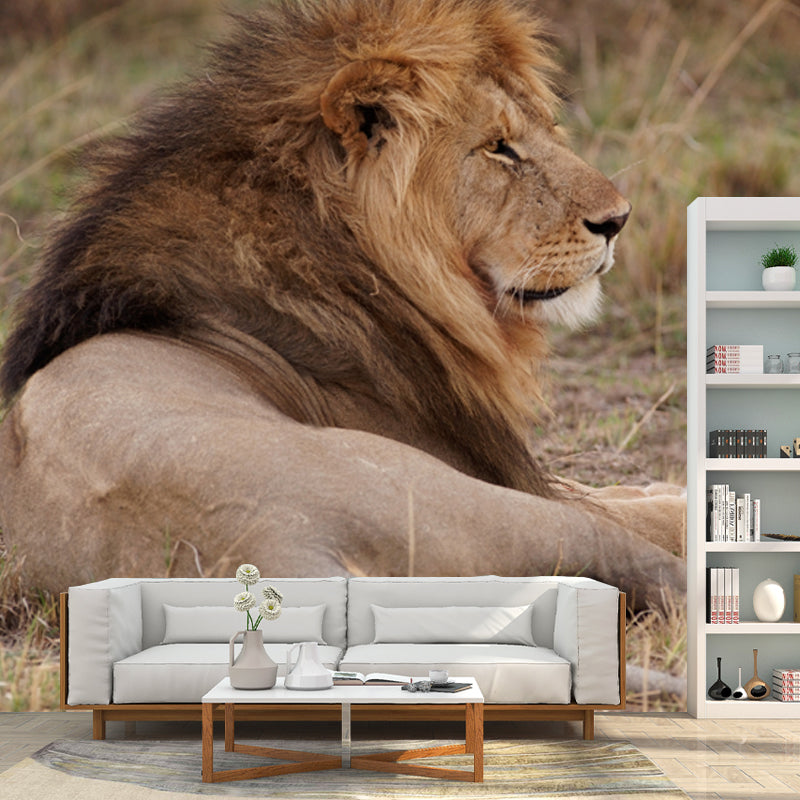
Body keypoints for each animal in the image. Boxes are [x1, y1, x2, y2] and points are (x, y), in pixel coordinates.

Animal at [0, 0, 685, 610]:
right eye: (499, 147)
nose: (618, 220)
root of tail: (266, 551)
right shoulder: (490, 467)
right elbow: (613, 502)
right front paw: (672, 495)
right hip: (450, 495)